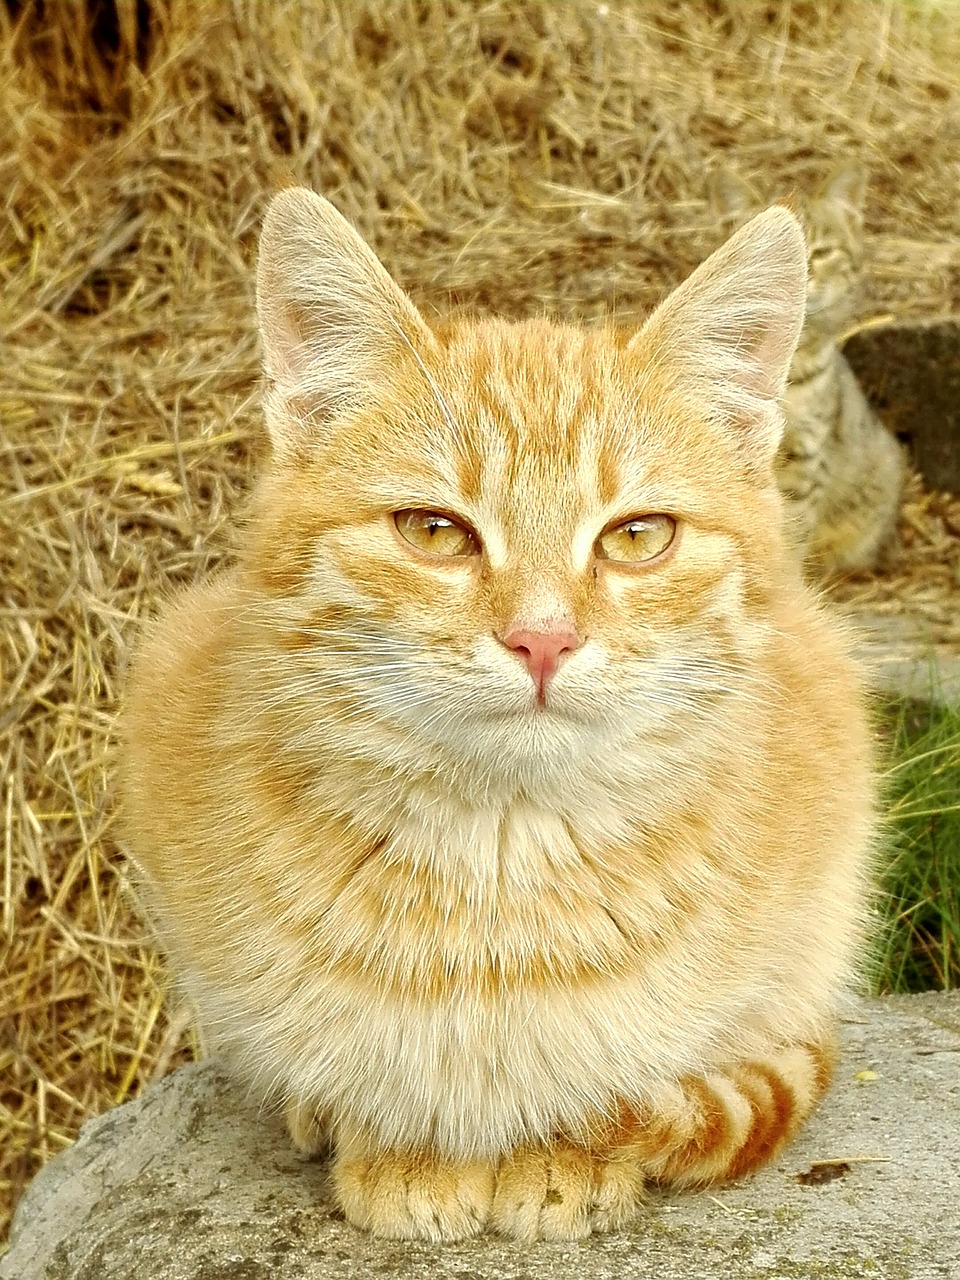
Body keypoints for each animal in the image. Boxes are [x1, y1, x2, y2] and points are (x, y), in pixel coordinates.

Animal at [116, 189, 875, 1239]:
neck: (501, 858)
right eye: (435, 532)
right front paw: (396, 1147)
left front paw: (559, 1155)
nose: (542, 640)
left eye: (638, 536)